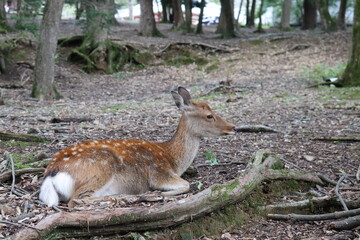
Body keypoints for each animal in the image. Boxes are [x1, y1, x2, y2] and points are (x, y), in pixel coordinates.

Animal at [39, 87, 236, 207]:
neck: (173, 158)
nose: (233, 127)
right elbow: (186, 185)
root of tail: (51, 174)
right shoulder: (159, 173)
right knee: (76, 200)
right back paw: (126, 196)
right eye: (209, 115)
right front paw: (158, 193)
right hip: (100, 168)